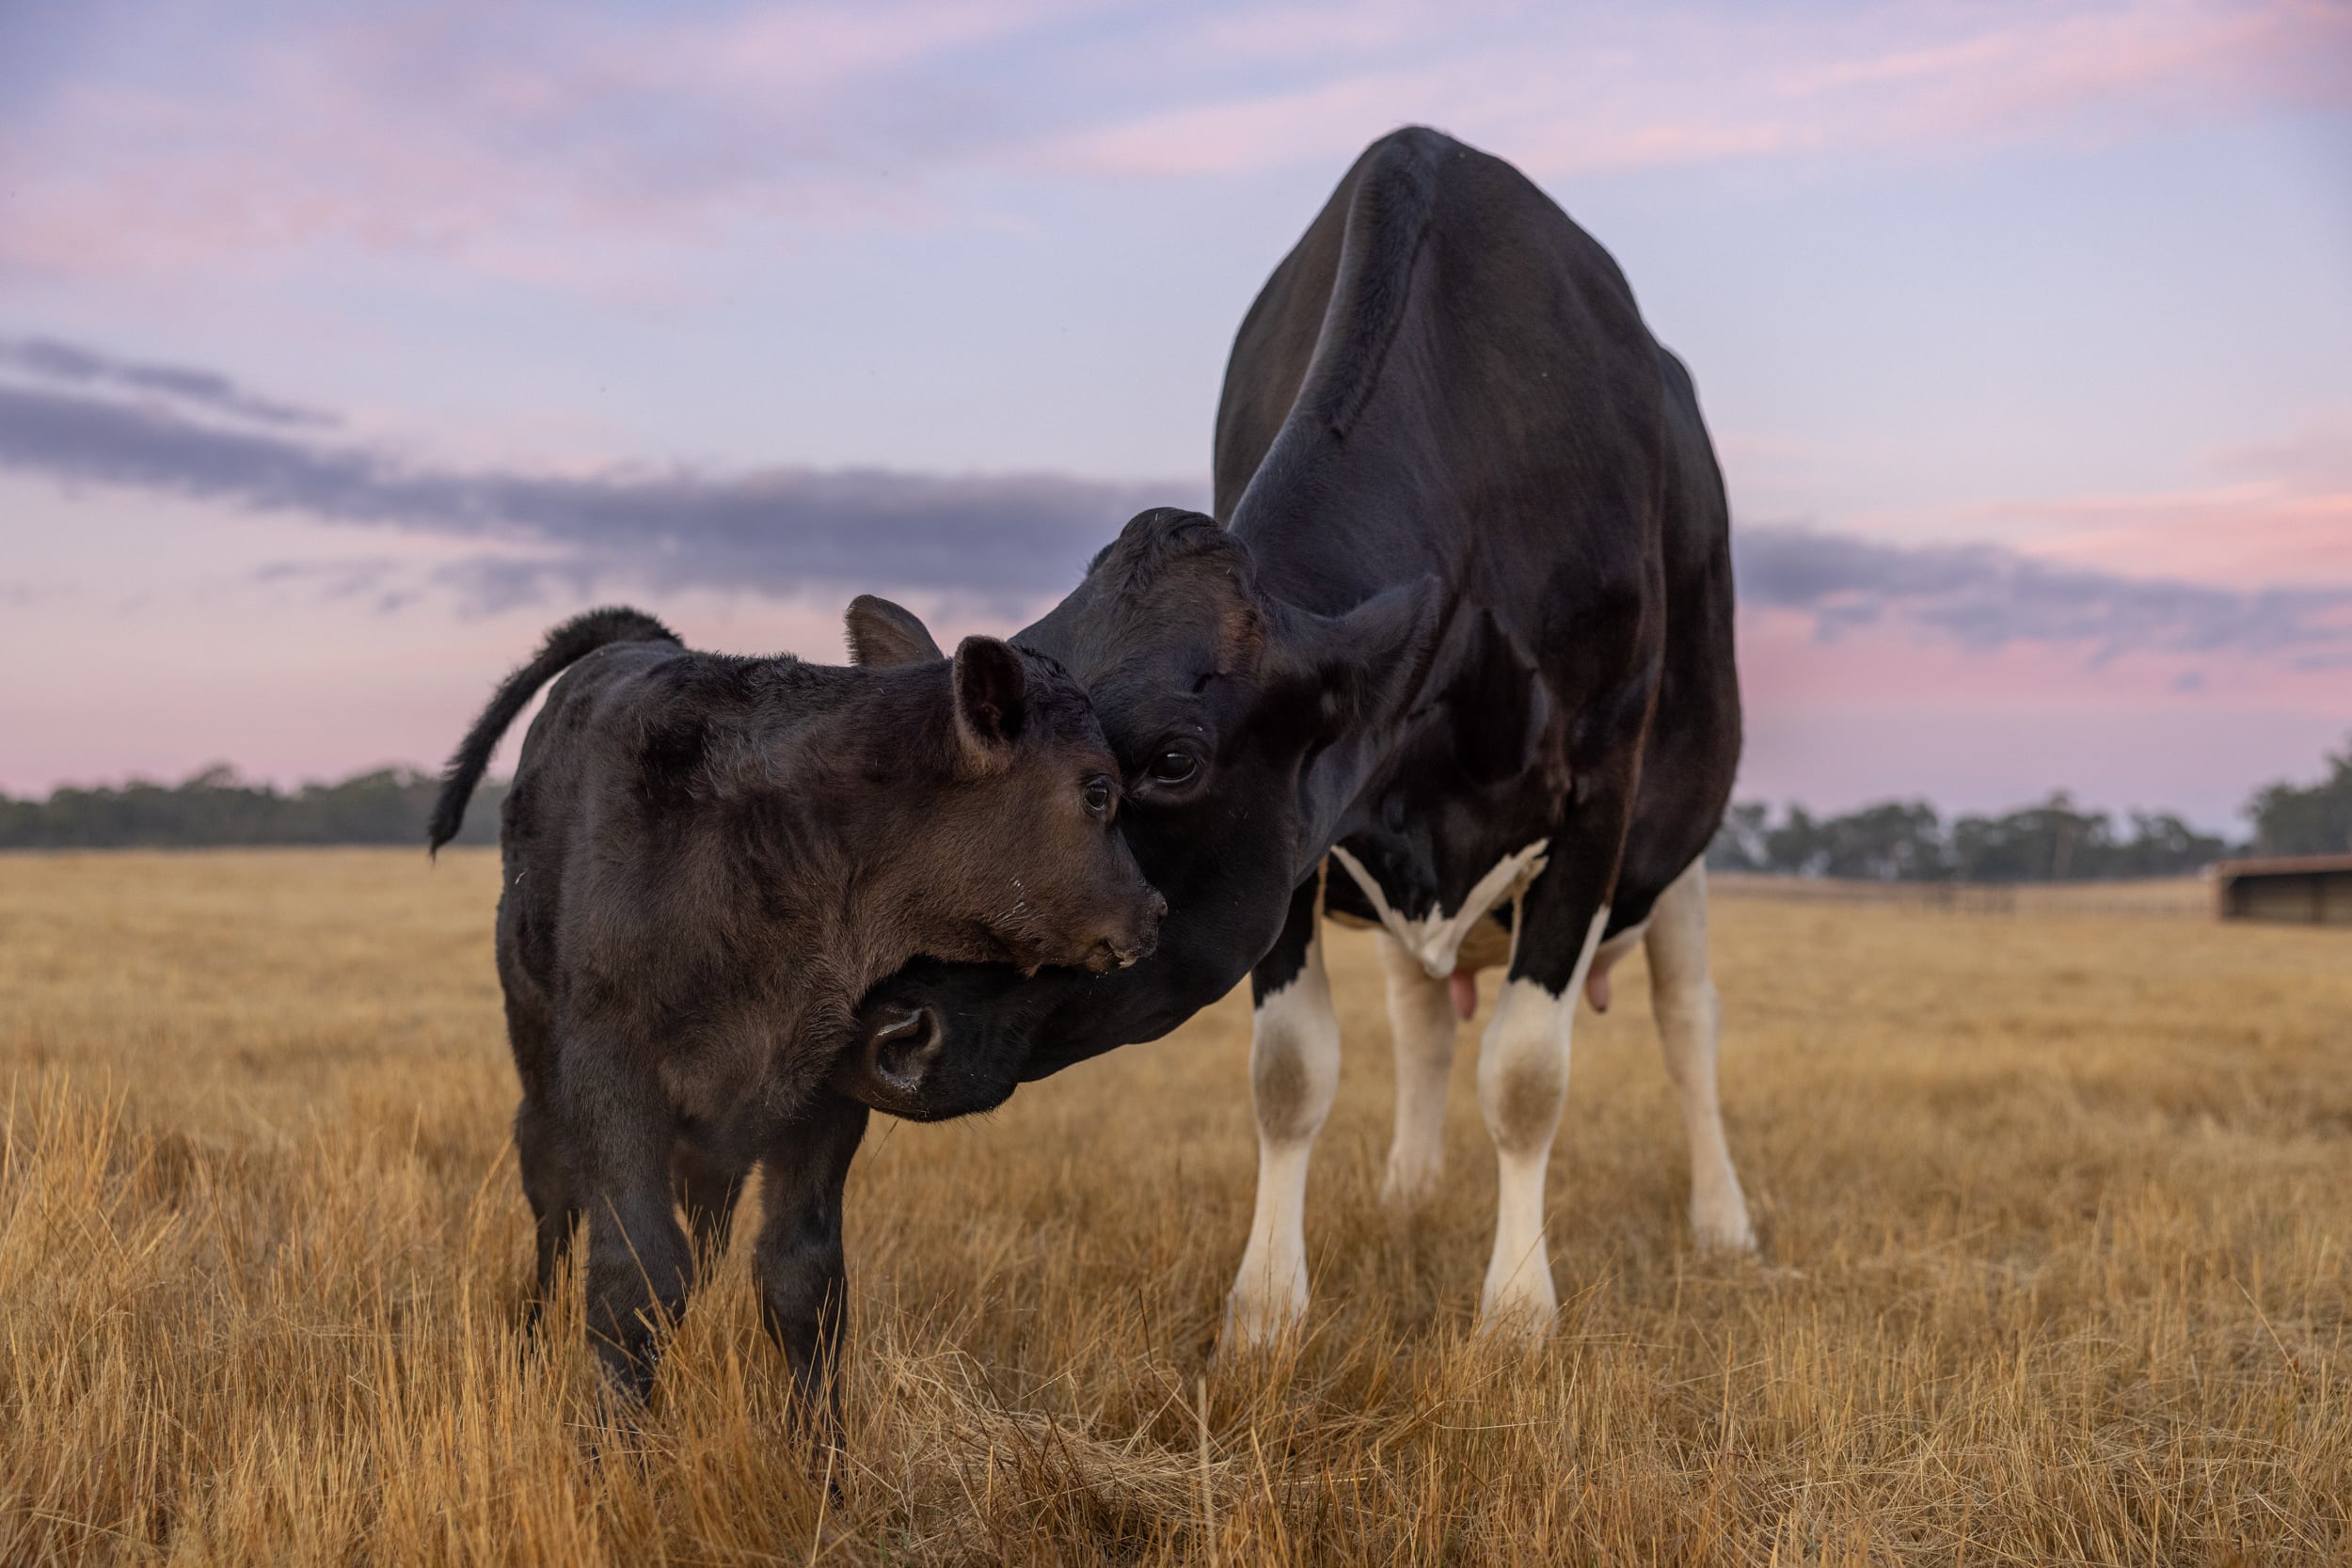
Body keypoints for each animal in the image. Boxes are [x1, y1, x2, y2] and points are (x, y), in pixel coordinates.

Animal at [426, 606, 1164, 1421]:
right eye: (1098, 791)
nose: (1153, 910)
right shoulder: (610, 1066)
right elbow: (635, 1274)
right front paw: (615, 1442)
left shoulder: (829, 1087)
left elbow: (801, 1280)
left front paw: (823, 1450)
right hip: (538, 1055)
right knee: (555, 1197)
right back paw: (531, 1337)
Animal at [831, 124, 1757, 1344]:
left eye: (1174, 760)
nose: (886, 1030)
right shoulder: (1305, 831)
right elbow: (1291, 1071)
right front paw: (1267, 1308)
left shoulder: (1595, 793)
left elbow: (1525, 1076)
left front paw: (1515, 1313)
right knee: (1422, 1014)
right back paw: (1410, 1190)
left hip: (1680, 836)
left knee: (1688, 1021)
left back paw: (1722, 1221)